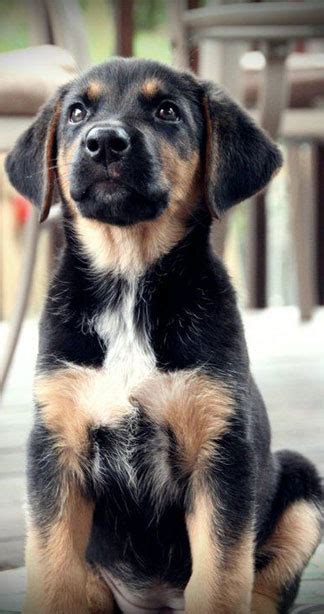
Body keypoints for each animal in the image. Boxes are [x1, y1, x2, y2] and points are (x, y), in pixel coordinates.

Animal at [5, 59, 322, 614]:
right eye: (77, 113)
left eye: (167, 111)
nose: (104, 143)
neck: (130, 279)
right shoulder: (55, 449)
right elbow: (56, 571)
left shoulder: (222, 456)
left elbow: (220, 578)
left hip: (302, 483)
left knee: (265, 587)